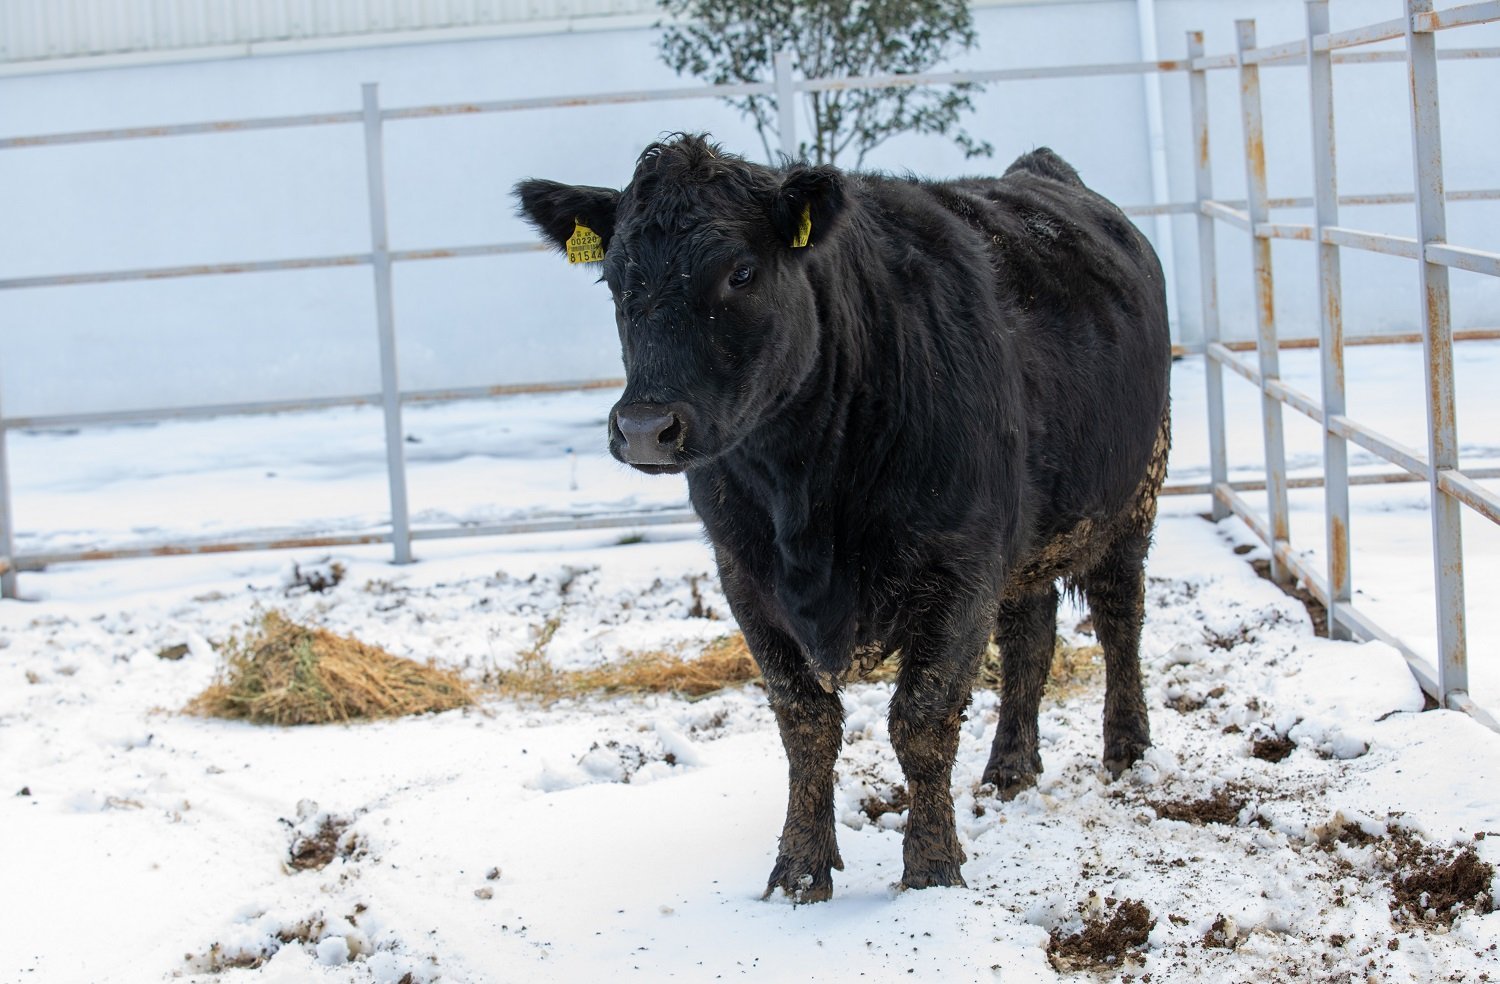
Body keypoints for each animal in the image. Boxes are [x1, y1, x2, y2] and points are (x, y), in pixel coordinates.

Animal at [514, 134, 1171, 902]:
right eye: (616, 279)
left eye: (741, 271)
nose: (646, 428)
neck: (806, 497)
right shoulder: (744, 577)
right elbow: (806, 724)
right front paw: (799, 872)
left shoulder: (962, 563)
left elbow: (921, 720)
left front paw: (930, 872)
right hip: (1030, 536)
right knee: (1029, 637)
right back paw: (1009, 767)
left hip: (1136, 490)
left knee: (1120, 615)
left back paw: (1126, 748)